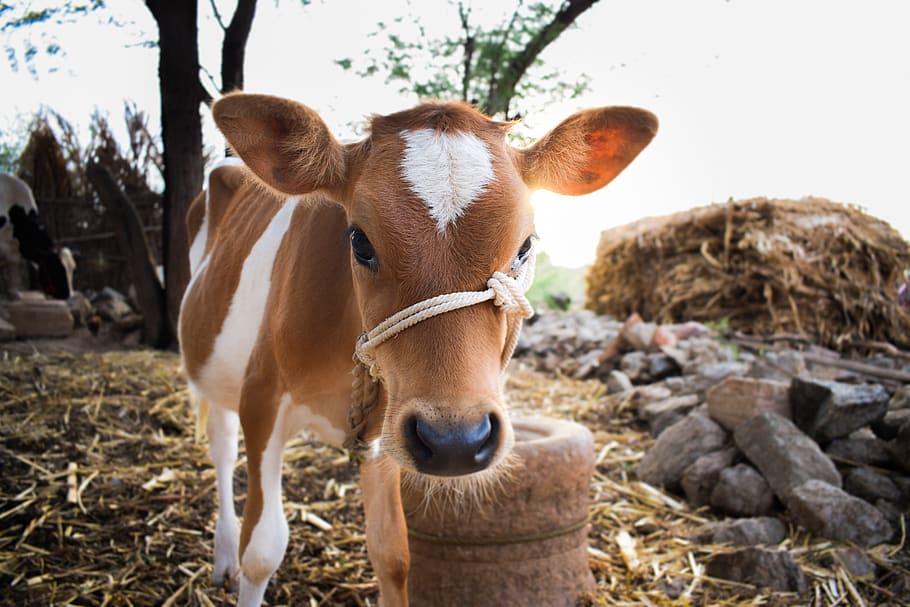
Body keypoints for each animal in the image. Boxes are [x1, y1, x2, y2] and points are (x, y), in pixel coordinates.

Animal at [180, 94, 664, 604]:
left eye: (525, 246)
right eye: (359, 240)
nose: (456, 441)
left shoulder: (386, 429)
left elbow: (393, 555)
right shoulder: (261, 399)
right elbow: (263, 550)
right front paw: (245, 558)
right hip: (214, 376)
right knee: (222, 450)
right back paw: (224, 555)